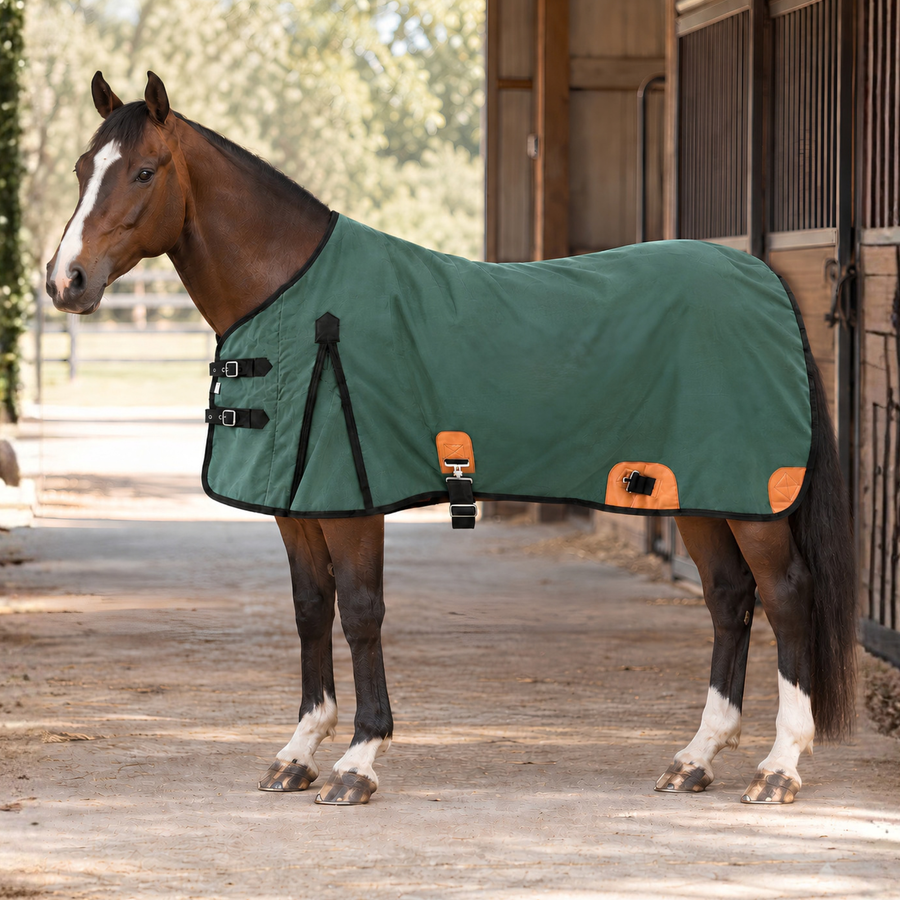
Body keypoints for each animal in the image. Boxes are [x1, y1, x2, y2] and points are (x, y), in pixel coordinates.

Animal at [45, 71, 857, 806]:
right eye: (84, 167)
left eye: (144, 171)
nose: (65, 281)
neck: (295, 300)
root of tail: (762, 278)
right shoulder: (296, 506)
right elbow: (310, 611)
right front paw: (298, 753)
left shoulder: (353, 504)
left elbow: (360, 612)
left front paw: (357, 762)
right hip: (697, 492)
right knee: (728, 598)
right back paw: (695, 758)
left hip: (752, 500)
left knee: (786, 596)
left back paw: (780, 767)